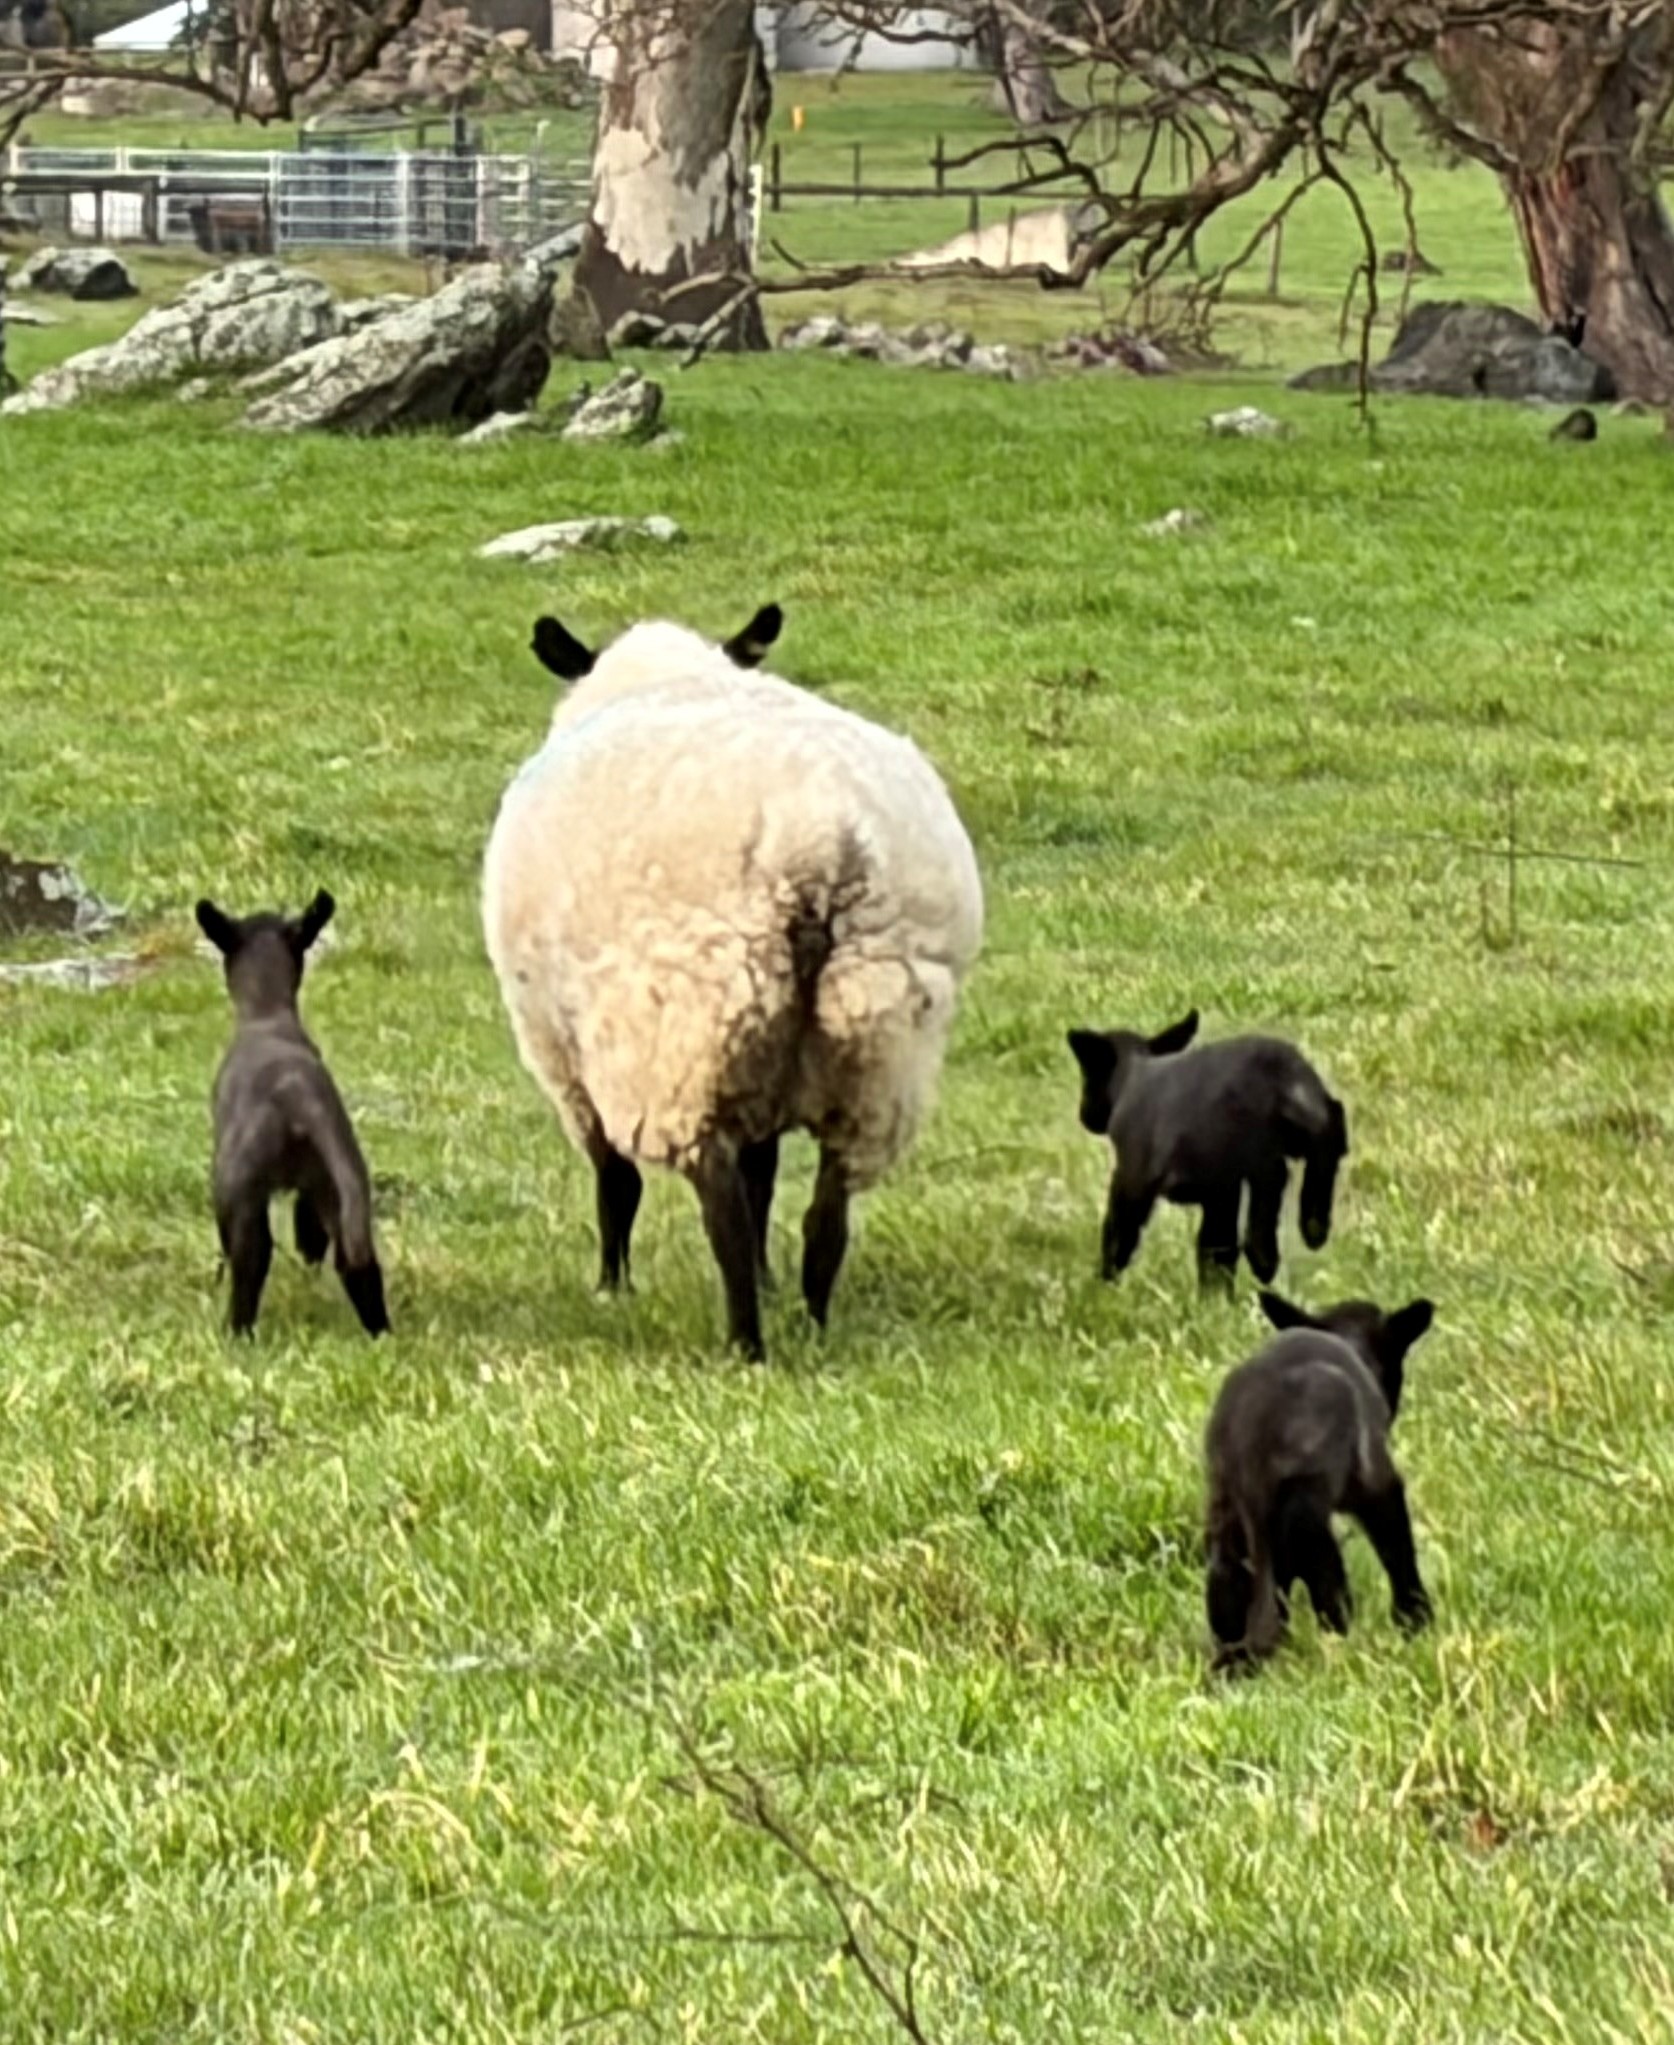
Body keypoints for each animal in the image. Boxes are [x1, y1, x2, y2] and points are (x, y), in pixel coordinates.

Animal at [196, 889, 389, 1338]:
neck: (268, 1014)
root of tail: (301, 1101)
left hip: (239, 1188)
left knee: (252, 1260)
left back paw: (237, 1332)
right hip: (340, 1185)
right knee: (357, 1263)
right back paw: (380, 1333)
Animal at [482, 603, 984, 1361]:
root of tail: (816, 845)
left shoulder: (565, 1053)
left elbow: (615, 1179)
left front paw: (612, 1285)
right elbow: (764, 1175)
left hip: (693, 1026)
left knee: (721, 1211)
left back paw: (746, 1343)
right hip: (876, 1041)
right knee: (825, 1215)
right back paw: (811, 1322)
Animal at [1066, 1010, 1347, 1293]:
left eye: (1088, 1074)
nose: (1084, 1116)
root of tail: (1285, 1080)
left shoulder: (1132, 1179)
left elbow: (1118, 1235)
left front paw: (1103, 1287)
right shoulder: (1222, 1191)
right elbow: (1217, 1247)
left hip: (1237, 1159)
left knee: (1262, 1199)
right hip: (1307, 1132)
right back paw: (1308, 1231)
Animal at [1203, 1288, 1435, 1672]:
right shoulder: (1380, 1485)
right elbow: (1399, 1553)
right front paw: (1416, 1621)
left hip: (1228, 1522)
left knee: (1233, 1596)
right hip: (1306, 1512)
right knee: (1327, 1593)